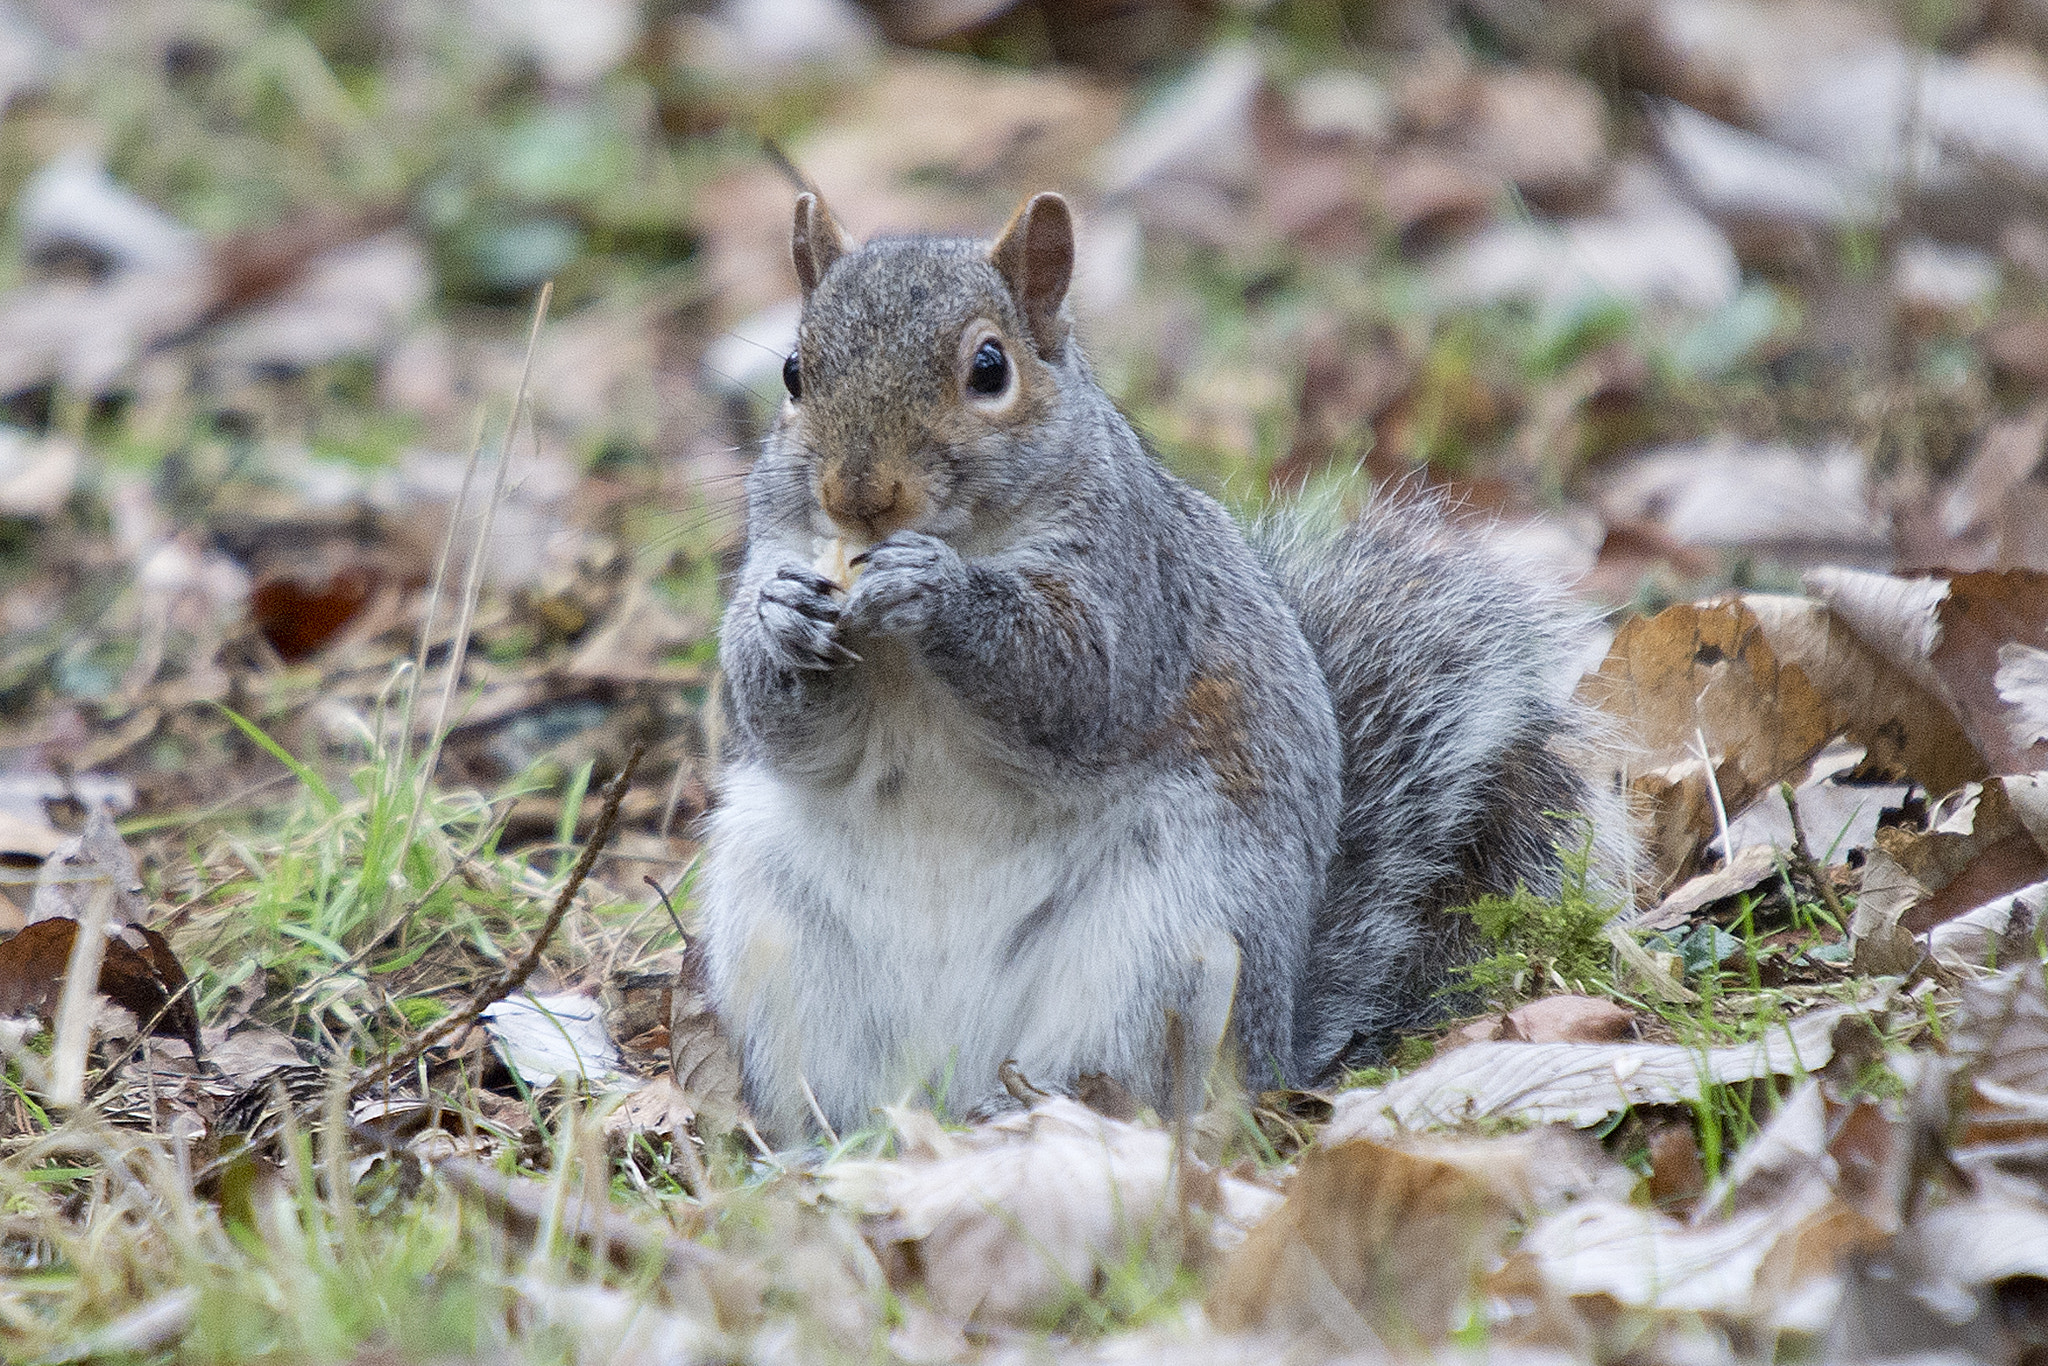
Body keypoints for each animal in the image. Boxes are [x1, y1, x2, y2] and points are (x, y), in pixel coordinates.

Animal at [700, 184, 1630, 1146]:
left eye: (990, 369)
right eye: (793, 372)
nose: (858, 496)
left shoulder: (1137, 589)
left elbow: (1079, 678)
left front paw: (940, 589)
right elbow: (776, 723)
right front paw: (778, 622)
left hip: (1167, 941)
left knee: (1141, 1086)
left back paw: (1039, 1107)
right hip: (780, 940)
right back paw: (842, 1143)